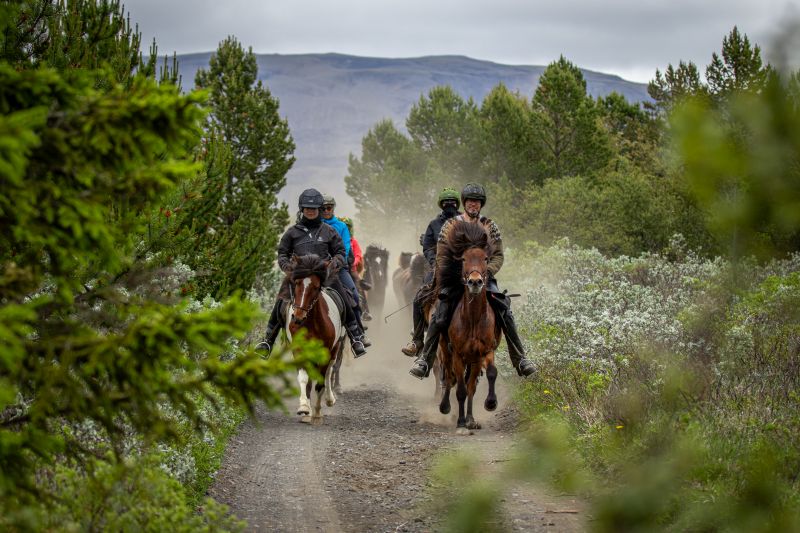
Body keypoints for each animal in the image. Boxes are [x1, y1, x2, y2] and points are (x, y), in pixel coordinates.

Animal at [282, 254, 346, 424]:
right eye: (296, 283)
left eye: (316, 287)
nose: (297, 318)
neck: (311, 323)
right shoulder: (299, 350)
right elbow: (304, 379)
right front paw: (305, 408)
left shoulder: (326, 351)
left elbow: (320, 382)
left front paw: (316, 414)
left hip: (336, 348)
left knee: (330, 370)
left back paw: (329, 399)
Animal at [434, 220, 504, 432]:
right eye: (463, 259)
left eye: (486, 258)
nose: (475, 282)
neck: (472, 319)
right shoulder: (457, 354)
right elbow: (461, 390)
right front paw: (461, 421)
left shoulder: (483, 353)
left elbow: (483, 379)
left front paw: (486, 407)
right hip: (446, 352)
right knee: (449, 379)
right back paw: (446, 408)